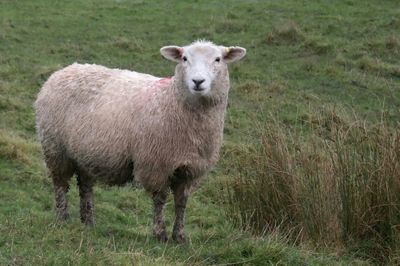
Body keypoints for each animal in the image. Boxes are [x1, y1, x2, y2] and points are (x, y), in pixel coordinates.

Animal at [35, 40, 247, 243]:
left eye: (218, 59)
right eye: (184, 58)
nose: (198, 81)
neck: (172, 101)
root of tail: (63, 71)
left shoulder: (191, 170)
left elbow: (181, 203)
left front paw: (179, 236)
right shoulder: (157, 164)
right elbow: (160, 199)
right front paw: (160, 234)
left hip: (84, 153)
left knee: (85, 186)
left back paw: (88, 221)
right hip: (55, 148)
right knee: (60, 184)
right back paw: (62, 217)